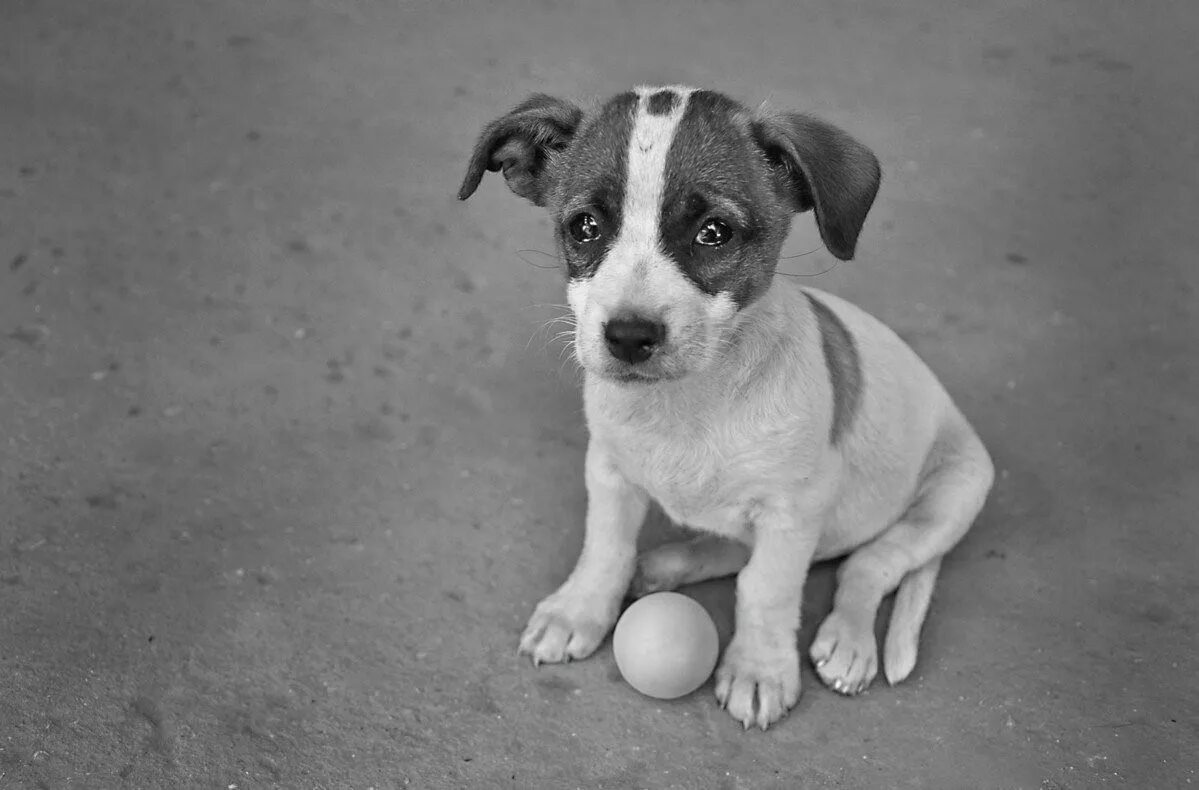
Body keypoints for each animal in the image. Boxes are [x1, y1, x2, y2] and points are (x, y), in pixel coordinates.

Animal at [455, 85, 992, 728]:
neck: (688, 401)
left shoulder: (793, 511)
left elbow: (767, 588)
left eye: (715, 232)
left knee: (869, 565)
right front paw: (579, 609)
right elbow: (605, 547)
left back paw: (848, 638)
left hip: (954, 494)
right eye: (584, 226)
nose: (628, 337)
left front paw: (759, 668)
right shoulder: (609, 471)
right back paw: (667, 565)